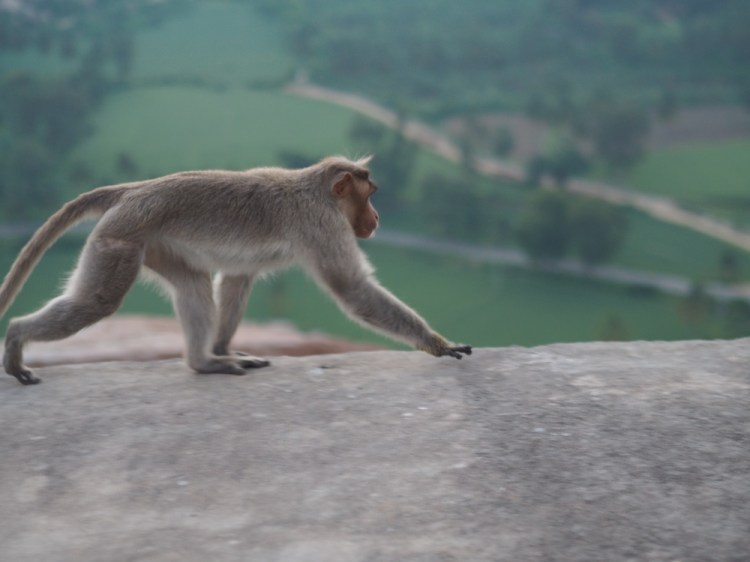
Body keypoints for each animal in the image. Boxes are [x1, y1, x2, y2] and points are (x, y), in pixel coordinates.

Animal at [0, 156, 471, 385]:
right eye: (369, 194)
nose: (376, 218)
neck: (315, 190)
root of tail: (132, 190)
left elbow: (236, 279)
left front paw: (226, 347)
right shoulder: (323, 225)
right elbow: (352, 288)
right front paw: (436, 343)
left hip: (151, 244)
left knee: (192, 286)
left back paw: (204, 361)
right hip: (119, 239)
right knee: (96, 302)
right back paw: (17, 337)